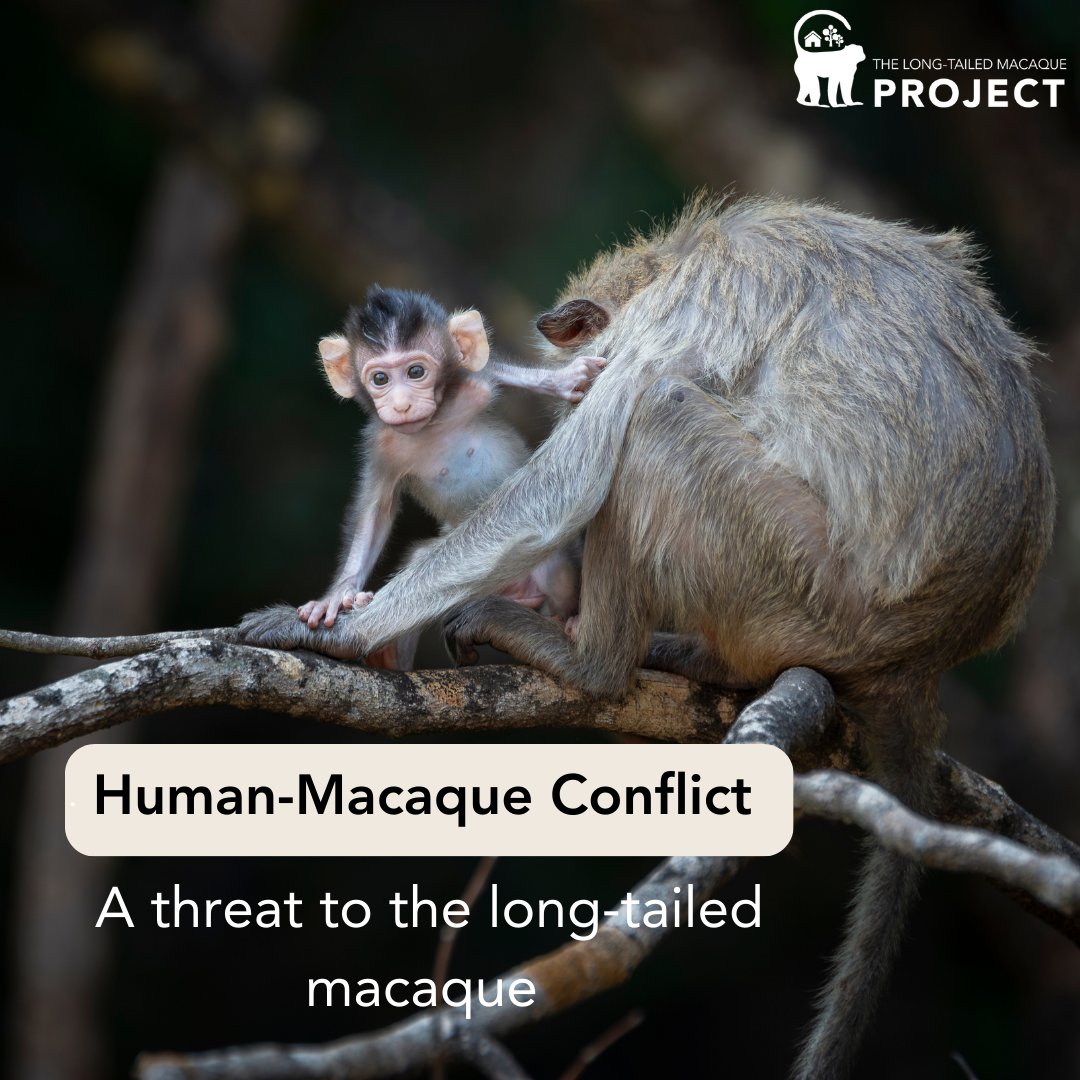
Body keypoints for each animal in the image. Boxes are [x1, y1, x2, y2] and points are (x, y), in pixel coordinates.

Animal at [298, 285, 604, 668]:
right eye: (380, 379)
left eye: (416, 372)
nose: (401, 405)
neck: (432, 427)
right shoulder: (382, 445)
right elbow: (375, 513)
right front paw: (337, 596)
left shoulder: (471, 389)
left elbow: (496, 371)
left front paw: (564, 379)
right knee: (421, 565)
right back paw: (386, 657)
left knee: (555, 571)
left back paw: (568, 622)